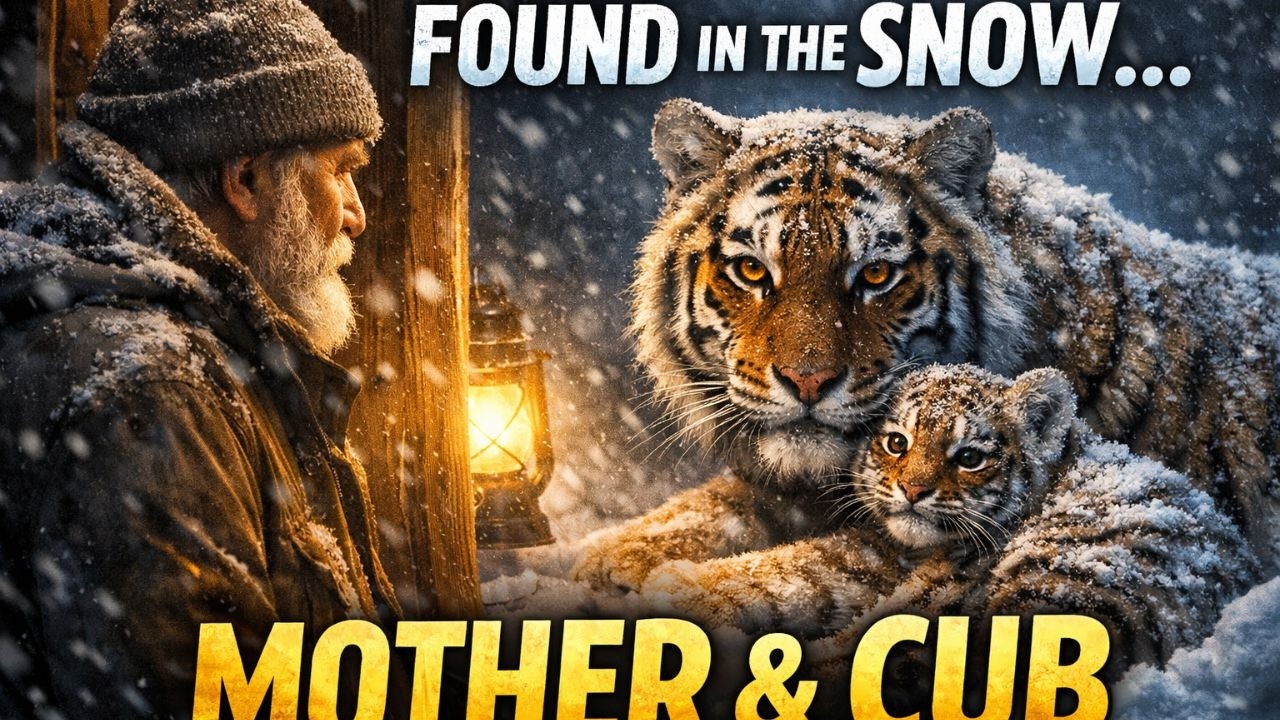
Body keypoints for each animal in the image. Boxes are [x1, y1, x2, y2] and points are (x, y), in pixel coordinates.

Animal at [573, 99, 1280, 612]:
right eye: (751, 270)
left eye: (876, 275)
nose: (808, 381)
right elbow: (720, 505)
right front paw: (612, 553)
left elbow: (810, 567)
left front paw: (677, 587)